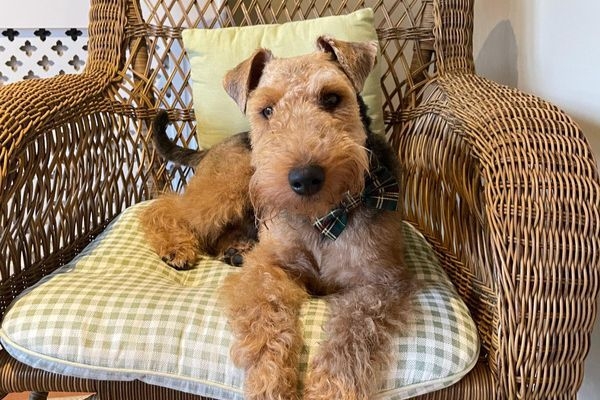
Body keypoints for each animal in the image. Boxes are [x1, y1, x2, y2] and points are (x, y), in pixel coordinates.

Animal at [142, 36, 412, 398]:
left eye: (331, 98)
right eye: (267, 110)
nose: (305, 178)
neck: (324, 219)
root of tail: (213, 147)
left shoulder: (378, 283)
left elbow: (350, 337)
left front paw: (329, 389)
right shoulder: (268, 267)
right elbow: (268, 320)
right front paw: (272, 384)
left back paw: (235, 250)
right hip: (232, 186)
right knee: (165, 208)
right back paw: (178, 248)